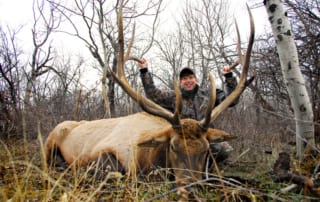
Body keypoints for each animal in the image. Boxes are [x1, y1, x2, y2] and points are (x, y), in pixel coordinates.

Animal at [45, 1, 255, 200]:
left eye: (205, 150)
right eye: (172, 146)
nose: (190, 188)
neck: (145, 156)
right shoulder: (105, 152)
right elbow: (114, 172)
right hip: (51, 139)